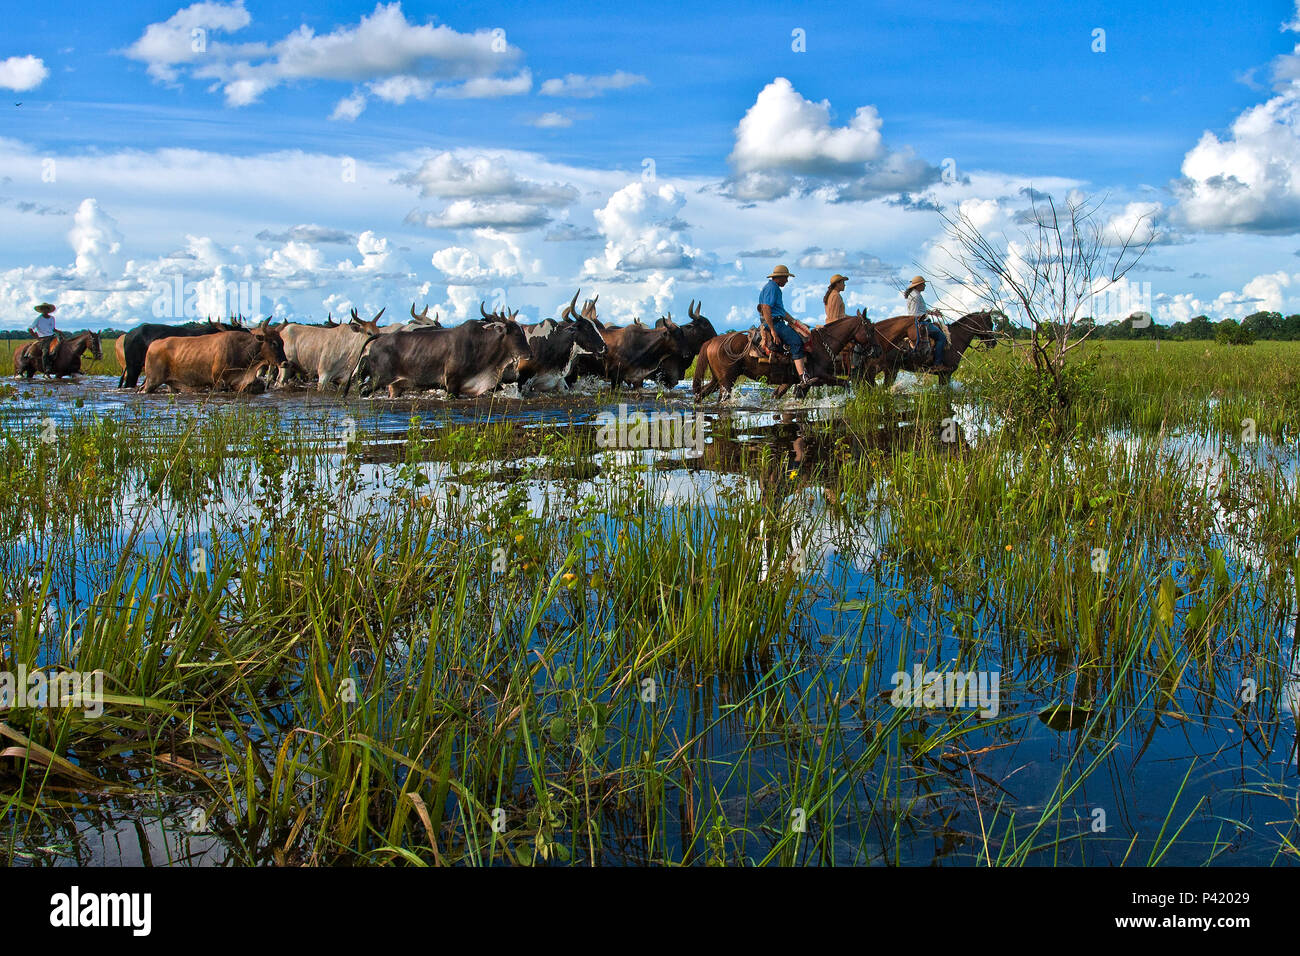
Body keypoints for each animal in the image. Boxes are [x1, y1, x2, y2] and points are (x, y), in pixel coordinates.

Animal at [142, 321, 289, 395]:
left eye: (282, 341)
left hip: (169, 383)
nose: (285, 363)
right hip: (152, 381)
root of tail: (154, 344)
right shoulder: (218, 382)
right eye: (273, 343)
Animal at [691, 310, 883, 403]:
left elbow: (782, 395)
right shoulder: (819, 377)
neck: (822, 345)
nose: (878, 351)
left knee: (701, 394)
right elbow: (845, 383)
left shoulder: (791, 382)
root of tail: (712, 341)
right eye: (871, 329)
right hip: (726, 381)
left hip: (717, 379)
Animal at [847, 314, 998, 390]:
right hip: (877, 370)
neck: (955, 339)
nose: (994, 343)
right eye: (989, 323)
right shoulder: (945, 374)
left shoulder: (944, 376)